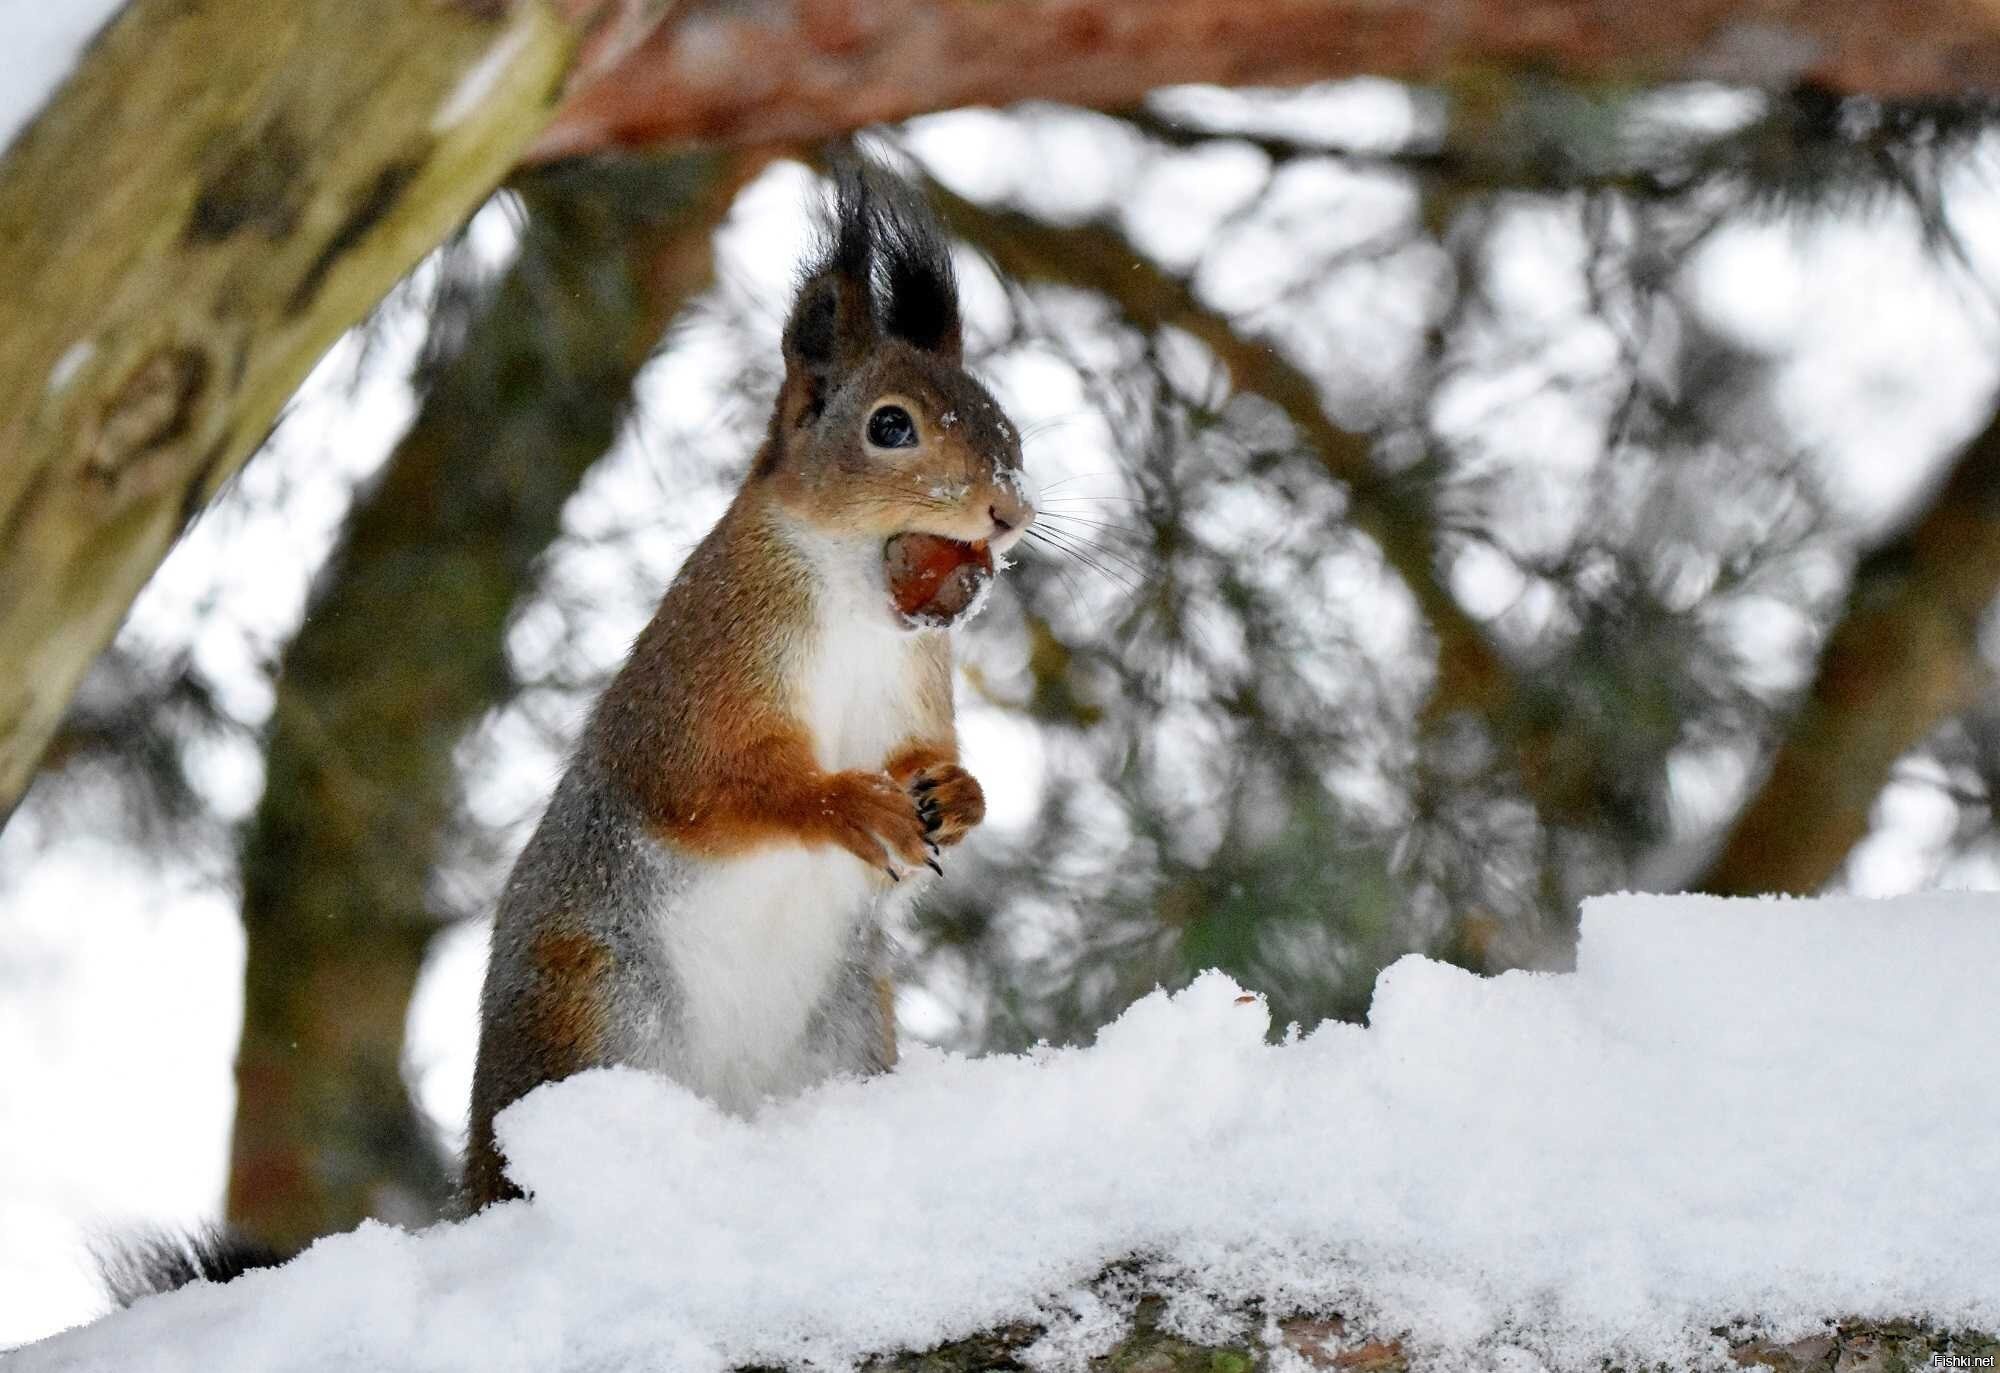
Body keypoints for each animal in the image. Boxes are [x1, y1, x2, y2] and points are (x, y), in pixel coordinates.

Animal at [462, 156, 1040, 1216]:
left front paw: (958, 793)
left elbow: (928, 767)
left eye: (1003, 420)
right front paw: (852, 805)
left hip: (848, 1024)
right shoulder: (699, 685)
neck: (859, 614)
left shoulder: (917, 689)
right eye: (889, 426)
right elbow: (718, 786)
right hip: (587, 1006)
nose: (1010, 508)